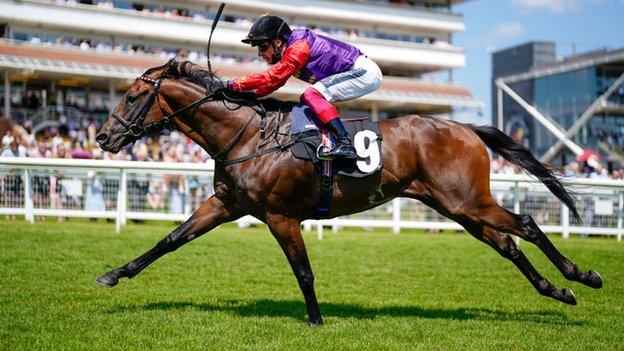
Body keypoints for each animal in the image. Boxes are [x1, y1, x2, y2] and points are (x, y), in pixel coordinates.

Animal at [95, 60, 604, 328]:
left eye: (132, 97)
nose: (102, 137)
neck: (247, 136)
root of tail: (465, 127)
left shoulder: (280, 216)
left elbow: (303, 271)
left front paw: (316, 322)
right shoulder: (227, 204)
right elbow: (170, 239)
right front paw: (114, 274)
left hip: (467, 201)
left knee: (527, 225)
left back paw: (583, 275)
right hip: (457, 208)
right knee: (508, 244)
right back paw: (557, 291)